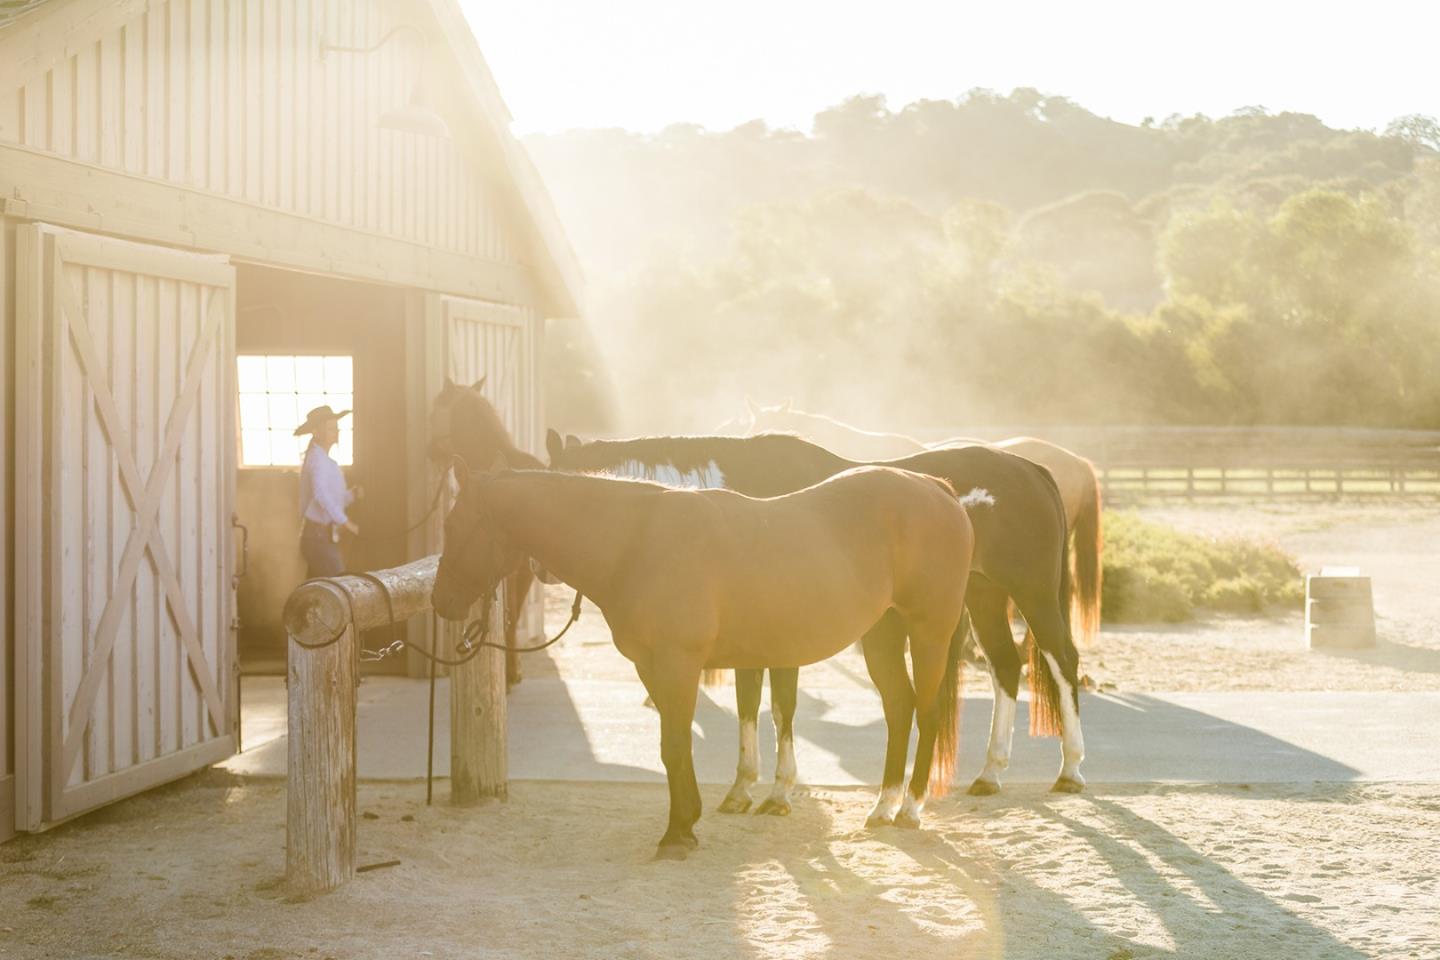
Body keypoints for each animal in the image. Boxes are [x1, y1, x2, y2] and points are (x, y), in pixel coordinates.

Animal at [420, 460, 973, 857]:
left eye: (458, 523)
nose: (441, 602)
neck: (635, 541)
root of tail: (936, 488)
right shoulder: (652, 667)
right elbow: (675, 746)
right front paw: (687, 821)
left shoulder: (677, 664)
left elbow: (673, 745)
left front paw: (676, 834)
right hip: (882, 635)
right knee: (899, 709)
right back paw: (882, 807)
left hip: (927, 633)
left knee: (925, 711)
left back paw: (910, 810)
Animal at [550, 428, 1082, 811]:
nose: (546, 570)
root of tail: (1030, 468)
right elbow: (748, 707)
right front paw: (741, 789)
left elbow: (779, 708)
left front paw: (778, 792)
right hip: (984, 596)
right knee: (1006, 666)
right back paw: (990, 773)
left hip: (1030, 594)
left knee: (1062, 661)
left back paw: (1070, 770)